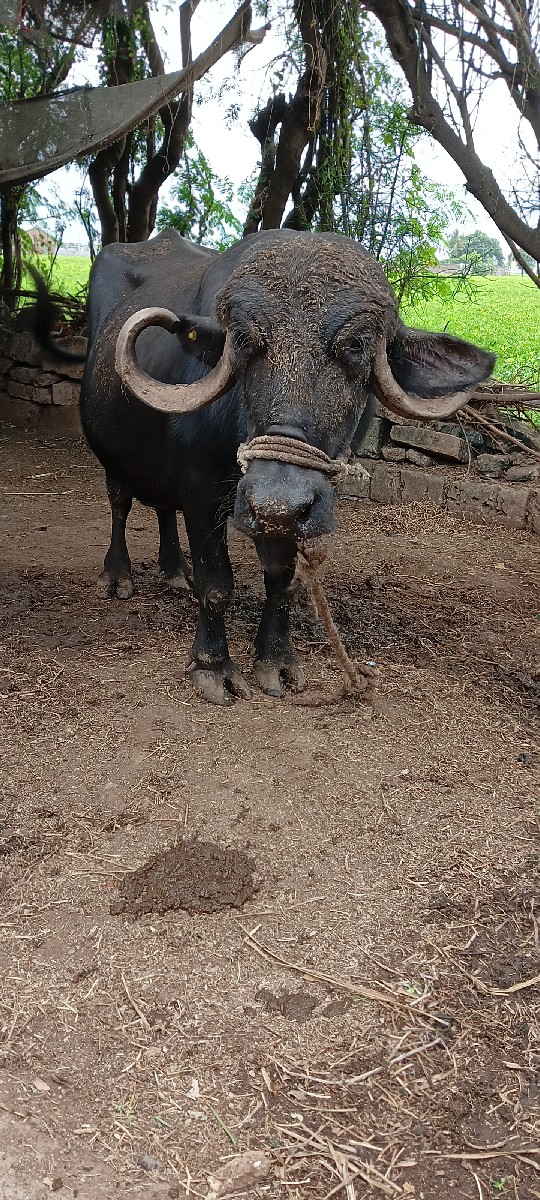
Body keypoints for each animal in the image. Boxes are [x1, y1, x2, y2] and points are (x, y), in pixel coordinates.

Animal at [40, 228, 495, 704]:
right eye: (242, 340)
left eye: (355, 345)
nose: (277, 500)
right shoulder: (202, 494)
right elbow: (217, 585)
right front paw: (213, 667)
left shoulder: (291, 513)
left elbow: (282, 580)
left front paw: (276, 660)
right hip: (110, 457)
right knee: (120, 503)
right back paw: (117, 576)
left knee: (163, 507)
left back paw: (176, 571)